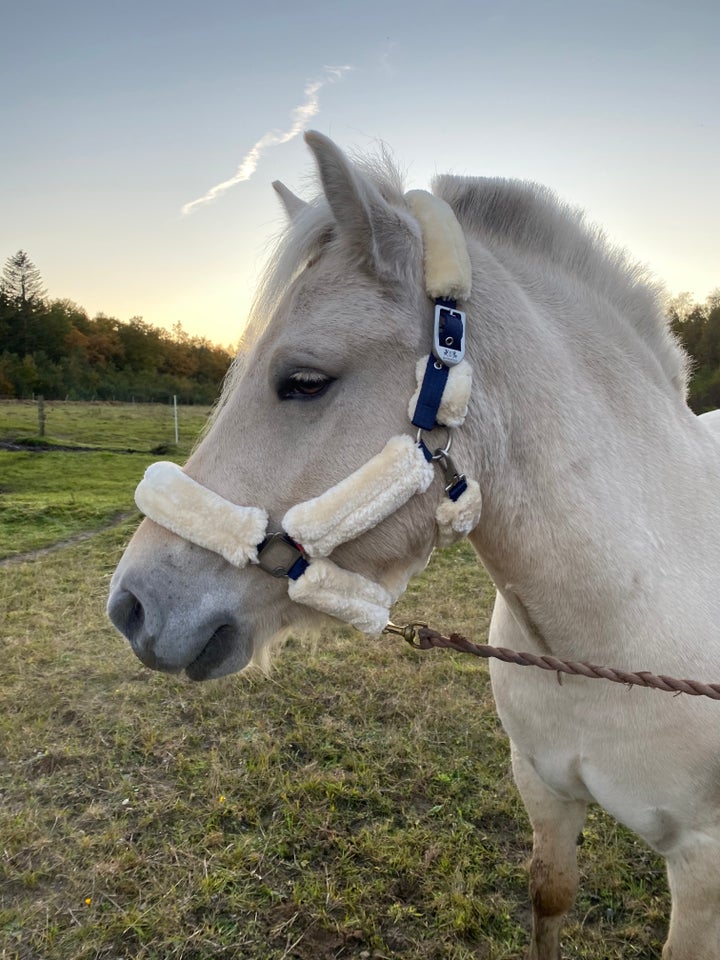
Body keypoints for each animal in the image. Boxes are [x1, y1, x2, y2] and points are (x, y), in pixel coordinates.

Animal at [108, 131, 720, 956]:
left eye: (305, 380)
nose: (133, 606)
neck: (614, 634)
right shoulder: (542, 786)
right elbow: (550, 899)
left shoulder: (703, 864)